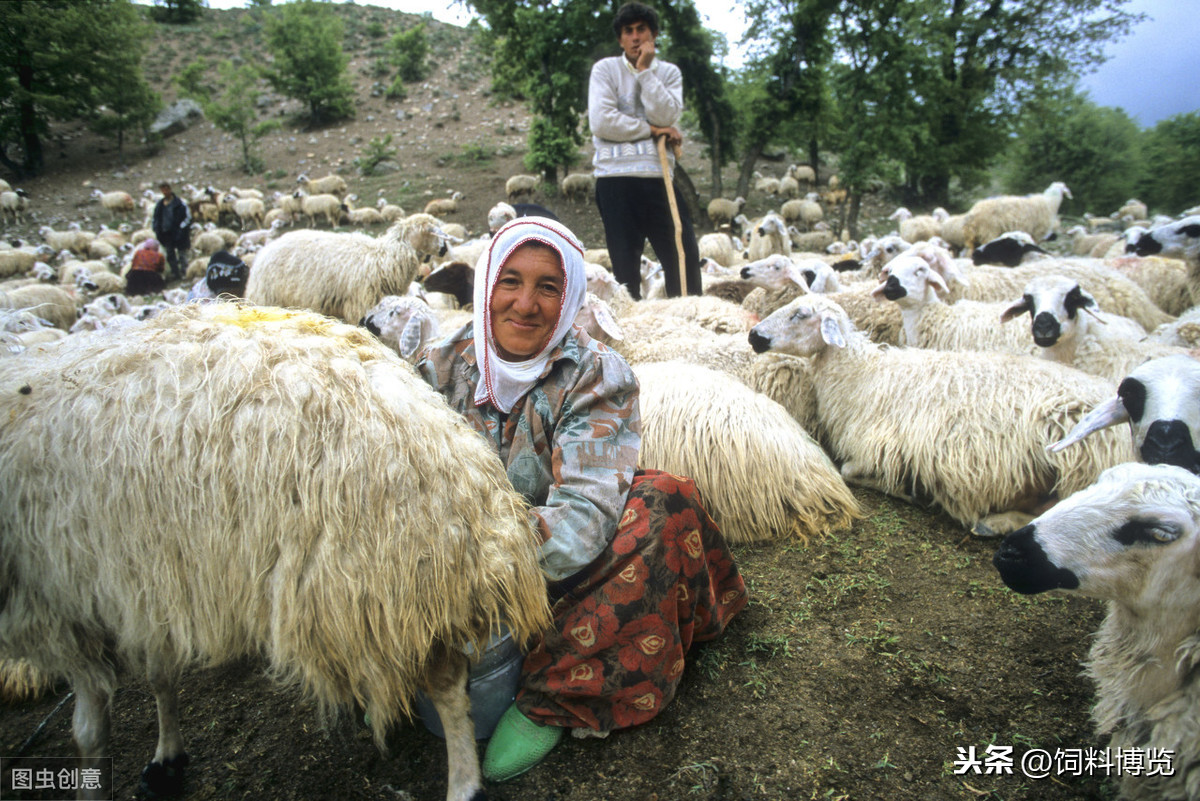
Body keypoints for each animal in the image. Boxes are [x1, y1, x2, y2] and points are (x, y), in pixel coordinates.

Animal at [0, 302, 549, 801]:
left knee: (444, 682)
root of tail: (465, 481)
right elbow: (159, 674)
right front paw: (167, 759)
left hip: (375, 582)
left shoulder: (65, 603)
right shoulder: (147, 579)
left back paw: (464, 784)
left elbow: (89, 731)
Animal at [748, 291, 1132, 534]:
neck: (862, 375)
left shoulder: (879, 448)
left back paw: (996, 523)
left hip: (1078, 452)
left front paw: (911, 491)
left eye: (800, 315)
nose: (754, 335)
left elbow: (849, 471)